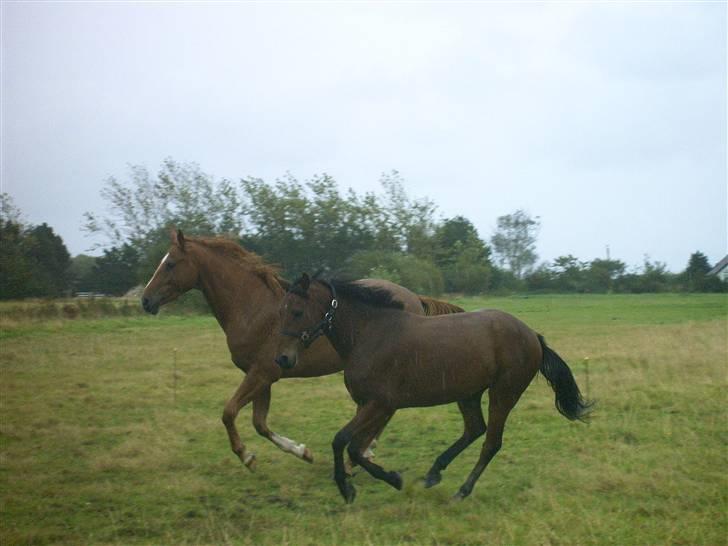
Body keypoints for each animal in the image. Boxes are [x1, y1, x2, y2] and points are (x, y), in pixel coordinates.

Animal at [140, 230, 464, 468]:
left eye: (170, 264)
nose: (145, 300)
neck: (253, 308)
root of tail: (413, 298)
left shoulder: (261, 373)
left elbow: (229, 412)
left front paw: (246, 456)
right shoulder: (263, 376)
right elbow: (260, 423)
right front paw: (302, 452)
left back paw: (365, 451)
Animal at [272, 272, 592, 502]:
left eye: (297, 311)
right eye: (281, 311)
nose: (283, 358)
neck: (370, 334)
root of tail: (532, 335)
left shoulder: (379, 403)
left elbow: (343, 442)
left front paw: (355, 487)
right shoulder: (371, 405)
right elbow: (356, 447)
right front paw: (386, 479)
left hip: (503, 393)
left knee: (491, 442)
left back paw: (462, 491)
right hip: (469, 394)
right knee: (474, 429)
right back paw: (433, 473)